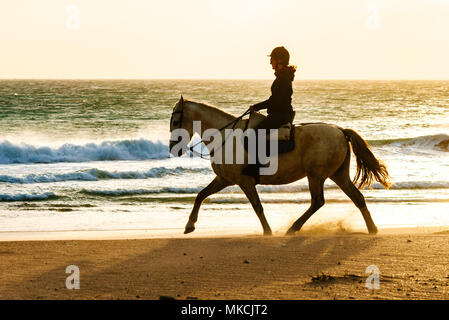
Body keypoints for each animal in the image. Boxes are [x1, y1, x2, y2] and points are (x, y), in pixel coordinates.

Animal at [168, 96, 388, 236]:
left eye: (176, 121)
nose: (173, 148)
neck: (226, 137)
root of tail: (340, 130)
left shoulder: (244, 181)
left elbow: (257, 207)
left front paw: (267, 231)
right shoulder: (225, 179)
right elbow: (201, 195)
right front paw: (189, 225)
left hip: (316, 175)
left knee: (318, 202)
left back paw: (293, 228)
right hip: (338, 174)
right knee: (356, 198)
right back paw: (372, 229)